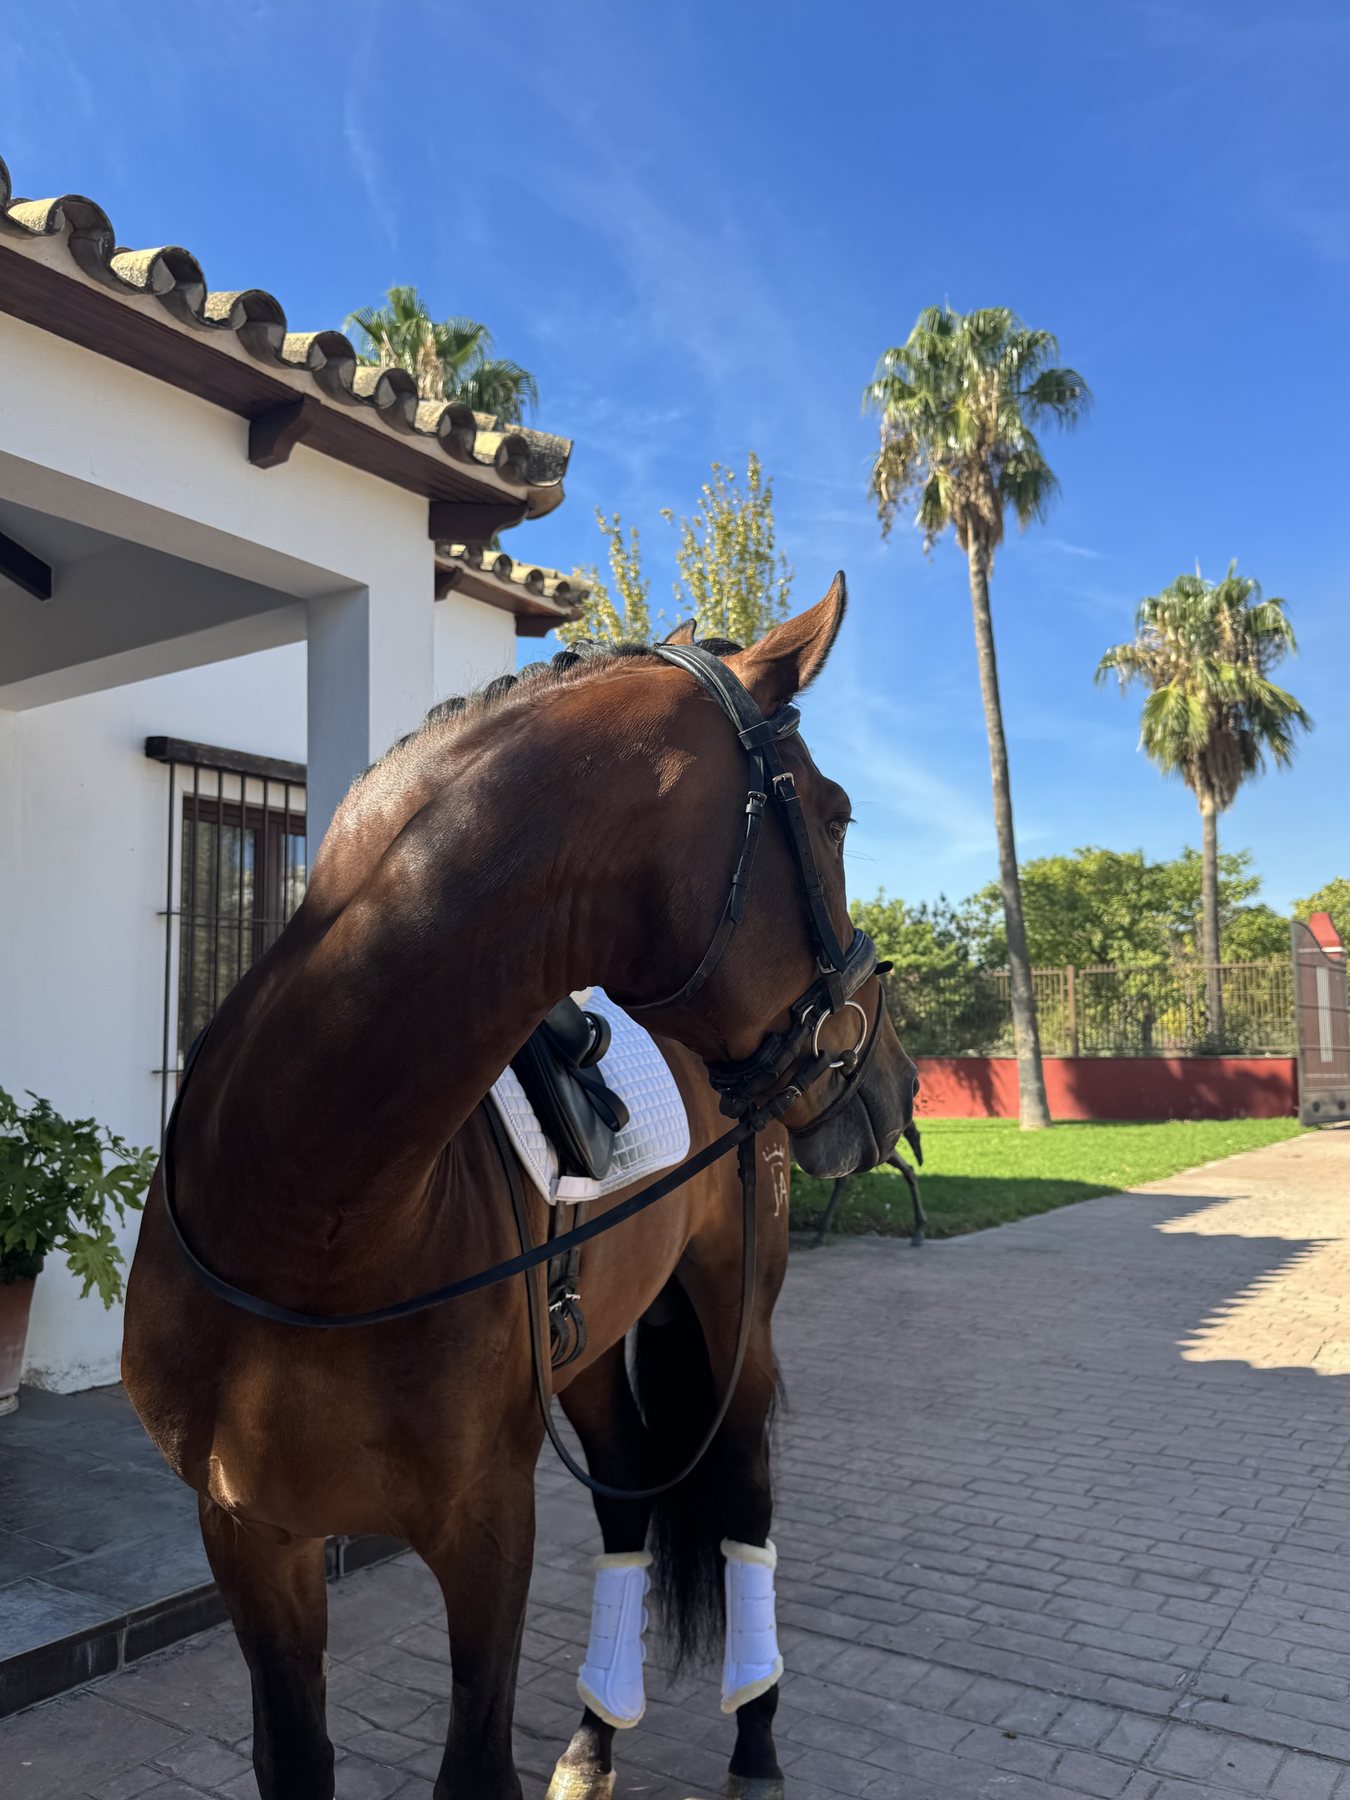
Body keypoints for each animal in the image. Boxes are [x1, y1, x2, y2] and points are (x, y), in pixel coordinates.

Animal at [121, 577, 917, 1800]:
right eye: (832, 816)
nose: (893, 1077)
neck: (311, 1221)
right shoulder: (250, 1534)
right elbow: (294, 1757)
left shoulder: (485, 1525)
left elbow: (473, 1763)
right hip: (587, 1355)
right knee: (631, 1486)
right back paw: (595, 1738)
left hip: (736, 1312)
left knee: (741, 1494)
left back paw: (754, 1740)